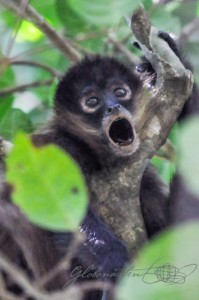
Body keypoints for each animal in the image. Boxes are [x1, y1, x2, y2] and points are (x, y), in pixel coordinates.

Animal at [0, 31, 198, 300]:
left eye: (120, 91)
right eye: (92, 101)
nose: (113, 107)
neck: (97, 157)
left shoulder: (144, 179)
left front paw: (171, 57)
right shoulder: (61, 147)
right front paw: (116, 264)